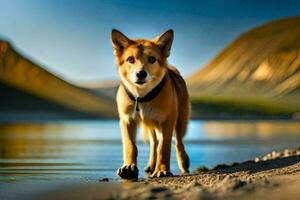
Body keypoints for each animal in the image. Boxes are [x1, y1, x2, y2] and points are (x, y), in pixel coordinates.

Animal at [110, 28, 190, 179]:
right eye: (130, 59)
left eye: (152, 59)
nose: (141, 74)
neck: (142, 97)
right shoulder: (126, 120)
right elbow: (130, 145)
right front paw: (129, 167)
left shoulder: (167, 120)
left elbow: (164, 147)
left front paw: (162, 170)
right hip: (152, 125)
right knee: (154, 143)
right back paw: (151, 165)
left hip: (180, 119)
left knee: (178, 141)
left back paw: (183, 162)